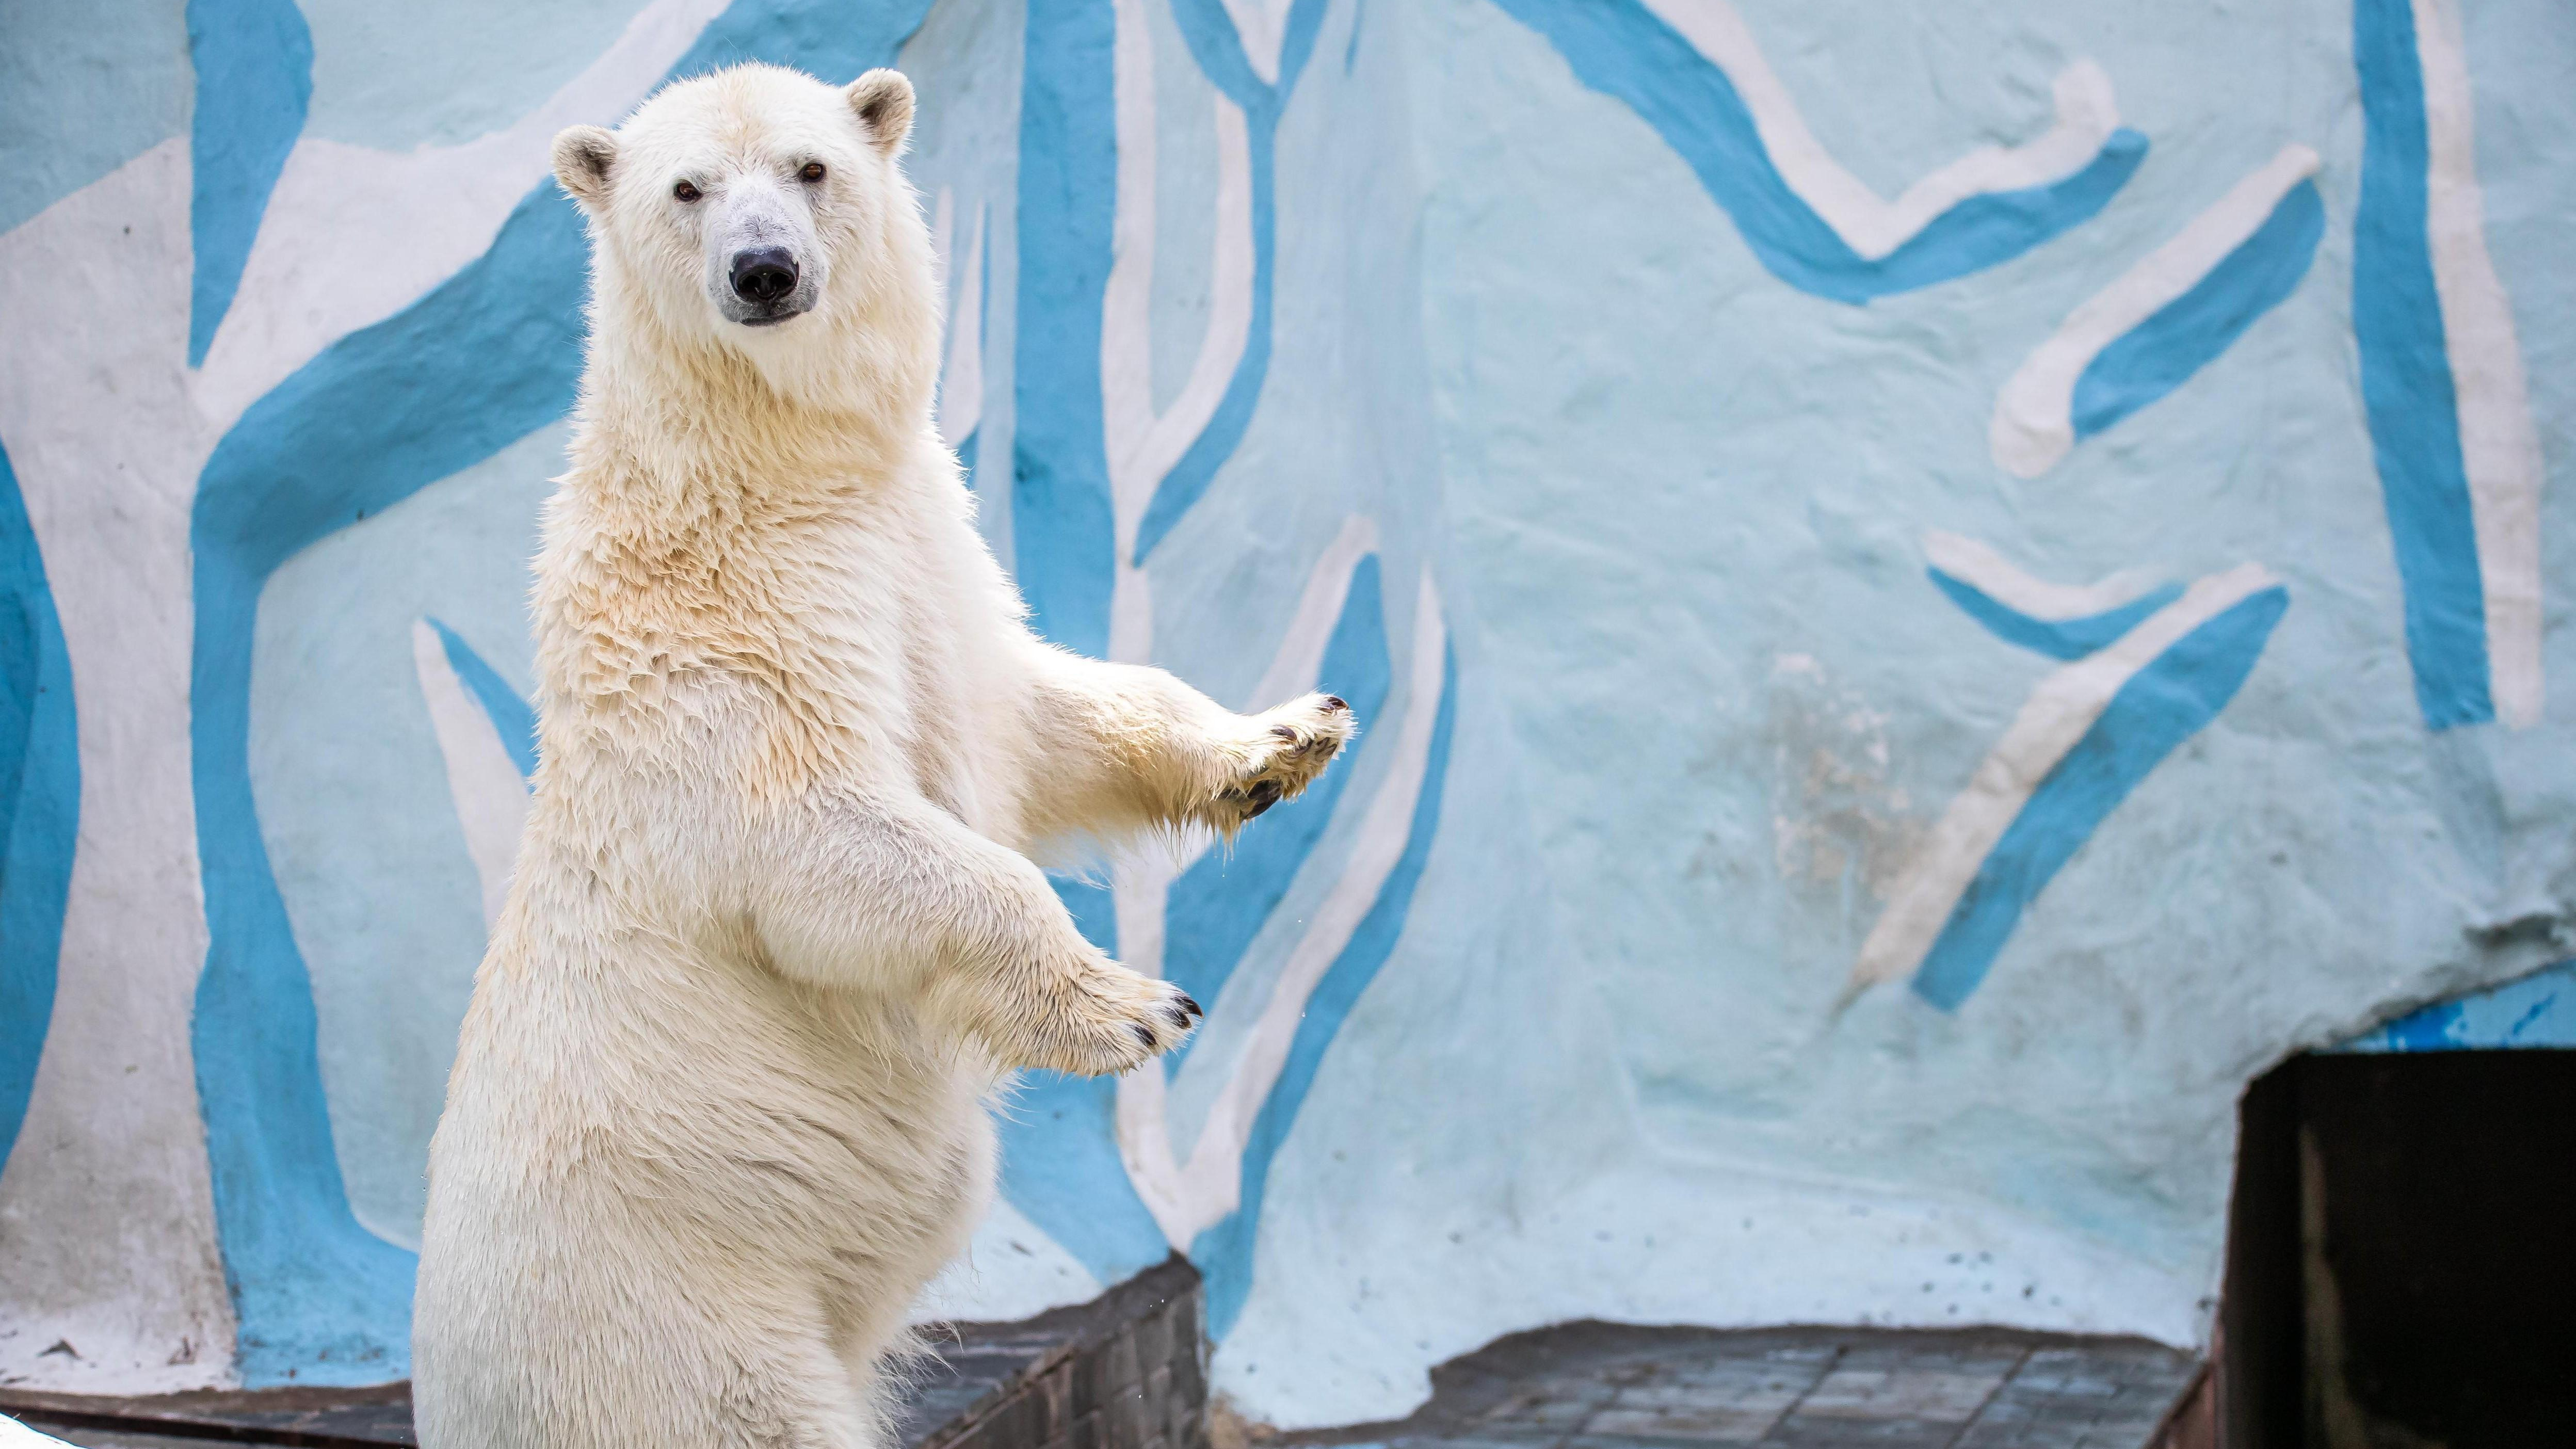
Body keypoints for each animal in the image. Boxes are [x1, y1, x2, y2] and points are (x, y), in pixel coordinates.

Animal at [407, 61, 1349, 1434]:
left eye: (812, 168)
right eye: (687, 189)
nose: (763, 270)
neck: (771, 475)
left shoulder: (915, 542)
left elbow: (1033, 713)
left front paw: (1280, 740)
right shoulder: (722, 635)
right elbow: (813, 834)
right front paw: (1133, 1007)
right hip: (664, 1308)